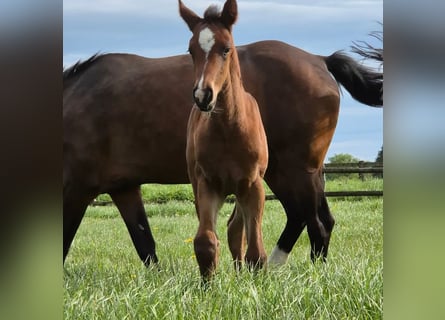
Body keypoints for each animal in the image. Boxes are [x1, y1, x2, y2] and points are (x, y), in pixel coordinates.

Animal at [63, 18, 382, 266]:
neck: (77, 99)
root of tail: (320, 60)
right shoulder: (124, 188)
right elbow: (145, 245)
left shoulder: (77, 188)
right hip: (300, 172)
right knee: (313, 219)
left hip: (291, 171)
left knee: (313, 223)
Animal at [179, 0, 268, 280]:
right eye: (191, 50)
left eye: (226, 48)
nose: (203, 95)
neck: (229, 129)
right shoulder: (207, 184)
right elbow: (205, 241)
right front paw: (208, 285)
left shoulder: (253, 184)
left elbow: (256, 250)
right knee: (230, 230)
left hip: (240, 190)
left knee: (237, 229)